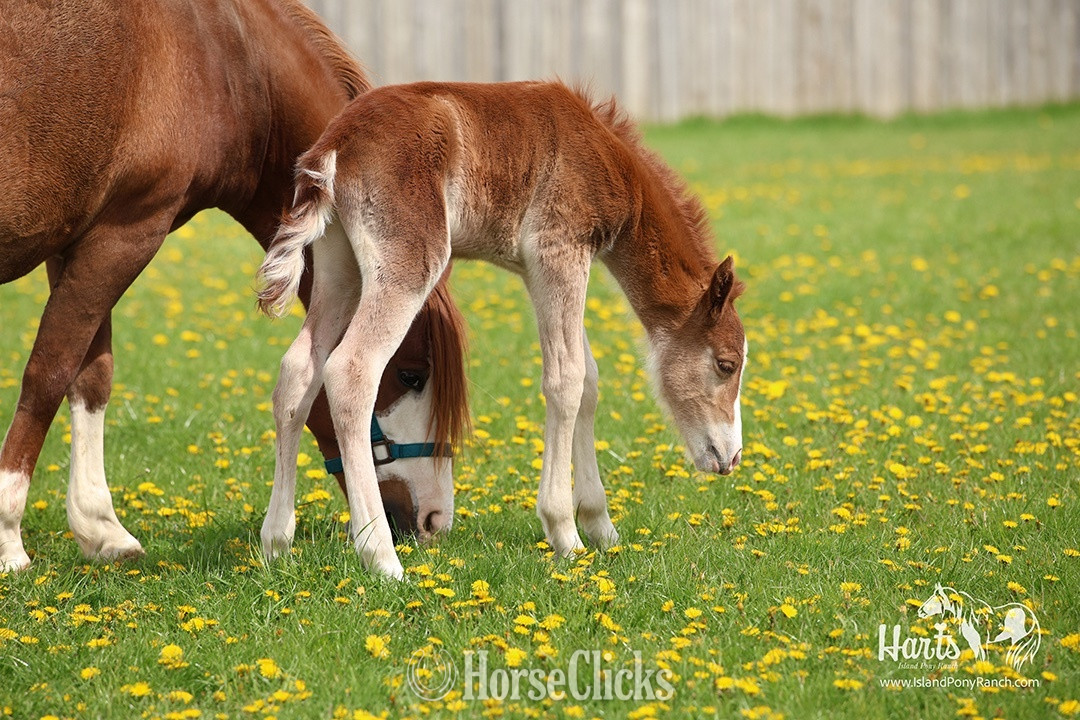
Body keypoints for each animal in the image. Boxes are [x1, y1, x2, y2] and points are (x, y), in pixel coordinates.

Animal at [0, 0, 468, 572]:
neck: (224, 58)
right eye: (411, 375)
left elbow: (91, 375)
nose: (435, 521)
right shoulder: (127, 232)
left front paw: (100, 528)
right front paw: (9, 540)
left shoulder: (84, 240)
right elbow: (48, 375)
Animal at [256, 81, 747, 579]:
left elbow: (588, 379)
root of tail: (336, 142)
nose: (731, 458)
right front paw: (566, 534)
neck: (607, 156)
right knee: (351, 370)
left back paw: (277, 543)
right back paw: (381, 556)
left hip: (338, 266)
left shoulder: (539, 269)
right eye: (727, 364)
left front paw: (601, 526)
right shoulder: (558, 251)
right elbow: (566, 381)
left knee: (298, 370)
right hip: (408, 260)